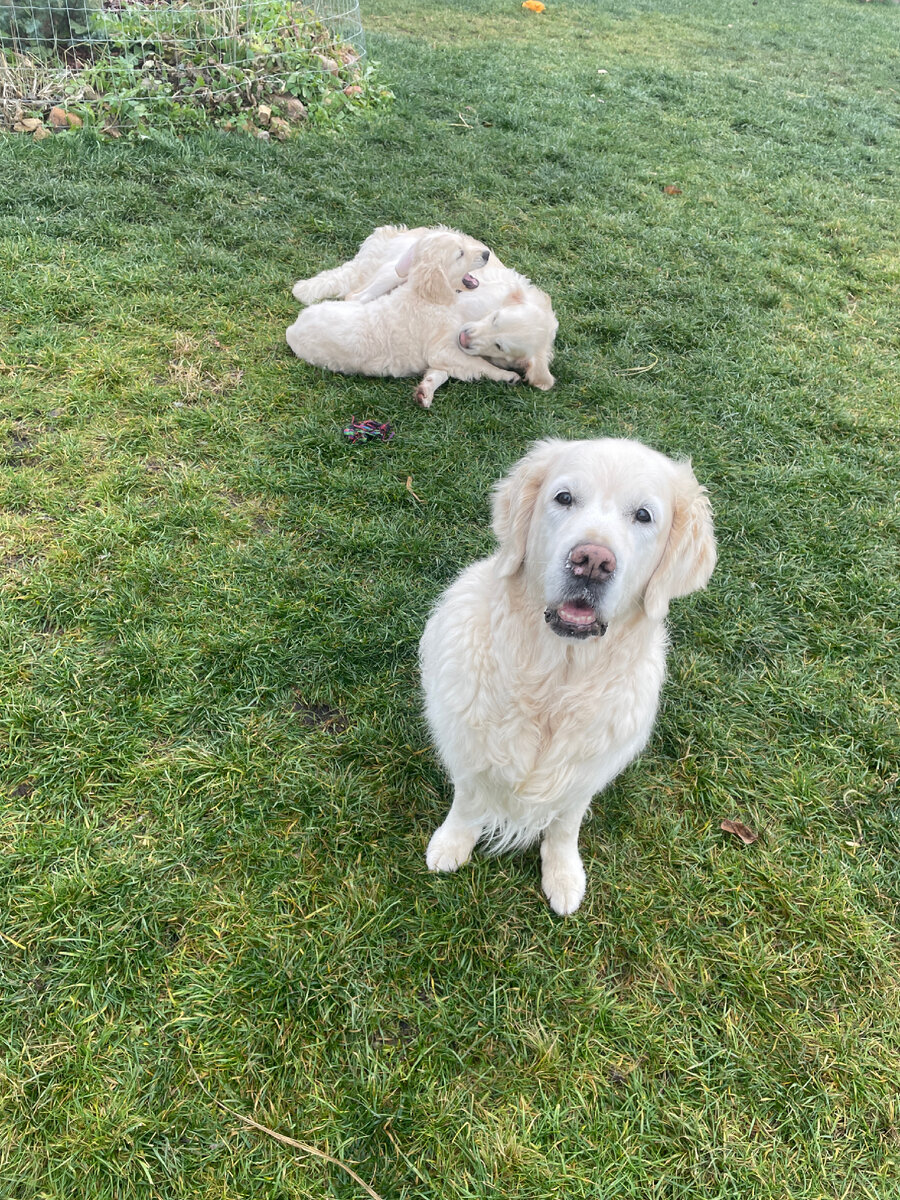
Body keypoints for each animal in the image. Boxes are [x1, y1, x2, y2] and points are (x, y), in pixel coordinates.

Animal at [290, 225, 556, 408]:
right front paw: (505, 375)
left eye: (500, 346)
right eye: (494, 319)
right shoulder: (444, 339)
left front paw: (426, 389)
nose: (486, 253)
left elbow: (446, 368)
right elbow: (470, 364)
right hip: (394, 271)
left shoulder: (446, 347)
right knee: (356, 296)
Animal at [422, 436, 720, 912]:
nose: (592, 561)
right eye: (564, 498)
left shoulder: (586, 773)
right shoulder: (469, 747)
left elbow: (565, 824)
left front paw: (562, 874)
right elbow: (468, 801)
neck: (556, 676)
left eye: (643, 515)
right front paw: (452, 844)